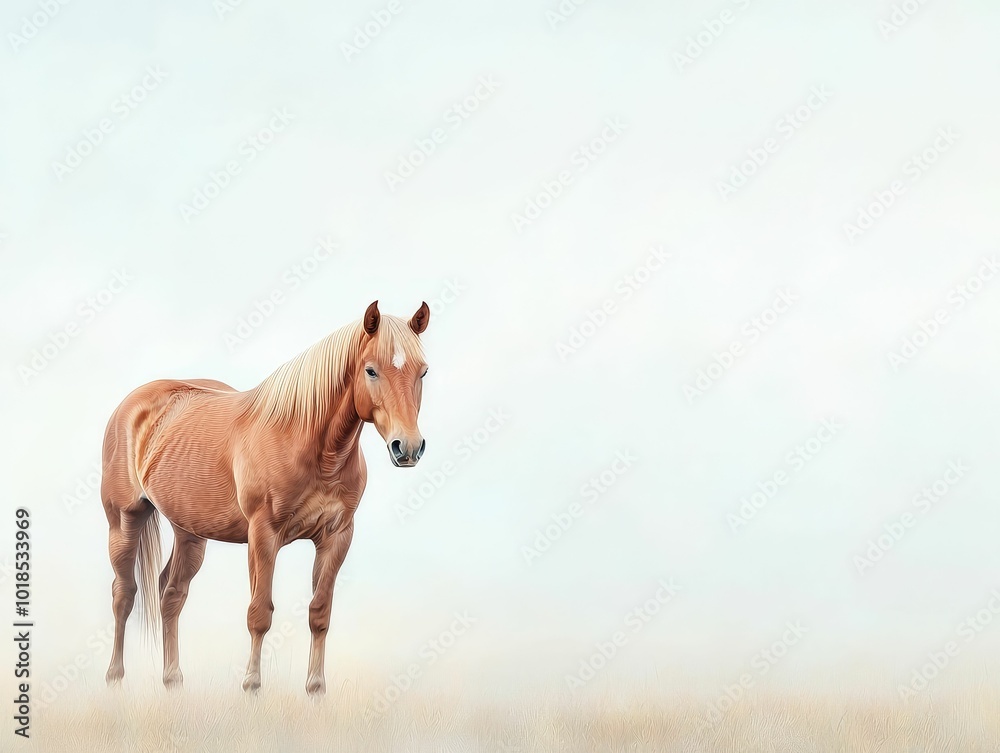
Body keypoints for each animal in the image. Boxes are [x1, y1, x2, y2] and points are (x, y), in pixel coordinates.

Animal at [99, 300, 430, 695]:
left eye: (423, 372)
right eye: (371, 370)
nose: (407, 448)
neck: (311, 445)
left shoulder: (337, 536)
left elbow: (320, 613)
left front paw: (315, 689)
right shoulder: (263, 535)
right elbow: (259, 613)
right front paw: (252, 686)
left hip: (189, 530)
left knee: (171, 594)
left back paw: (173, 681)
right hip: (125, 519)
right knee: (123, 594)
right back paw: (114, 678)